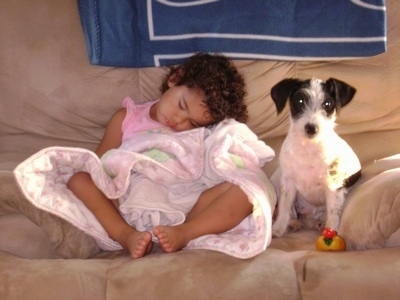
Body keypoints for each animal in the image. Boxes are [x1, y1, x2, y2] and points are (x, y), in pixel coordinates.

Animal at [270, 77, 360, 237]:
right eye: (299, 101)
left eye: (328, 104)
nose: (311, 128)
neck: (309, 147)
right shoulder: (288, 183)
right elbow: (284, 208)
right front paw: (278, 228)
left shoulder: (333, 187)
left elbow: (333, 214)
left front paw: (331, 232)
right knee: (294, 213)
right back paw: (293, 223)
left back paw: (319, 224)